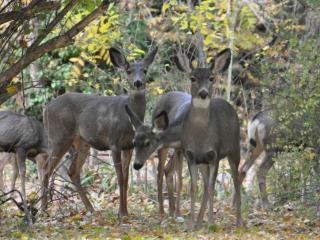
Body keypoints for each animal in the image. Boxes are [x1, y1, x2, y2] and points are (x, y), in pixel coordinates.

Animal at [41, 47, 159, 218]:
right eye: (128, 71)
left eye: (145, 70)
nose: (138, 83)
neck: (127, 119)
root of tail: (46, 109)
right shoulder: (113, 141)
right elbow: (119, 176)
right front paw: (121, 212)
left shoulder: (129, 146)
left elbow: (126, 178)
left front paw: (125, 212)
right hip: (59, 136)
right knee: (46, 169)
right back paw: (43, 210)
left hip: (81, 142)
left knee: (73, 171)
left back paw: (90, 208)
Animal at [174, 48, 244, 227]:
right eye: (193, 78)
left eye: (211, 78)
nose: (203, 93)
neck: (200, 137)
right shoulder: (190, 155)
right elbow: (194, 188)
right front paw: (191, 223)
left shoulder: (215, 154)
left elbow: (212, 187)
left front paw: (212, 222)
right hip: (203, 162)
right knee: (205, 185)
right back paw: (199, 222)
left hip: (235, 149)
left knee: (236, 179)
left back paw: (239, 221)